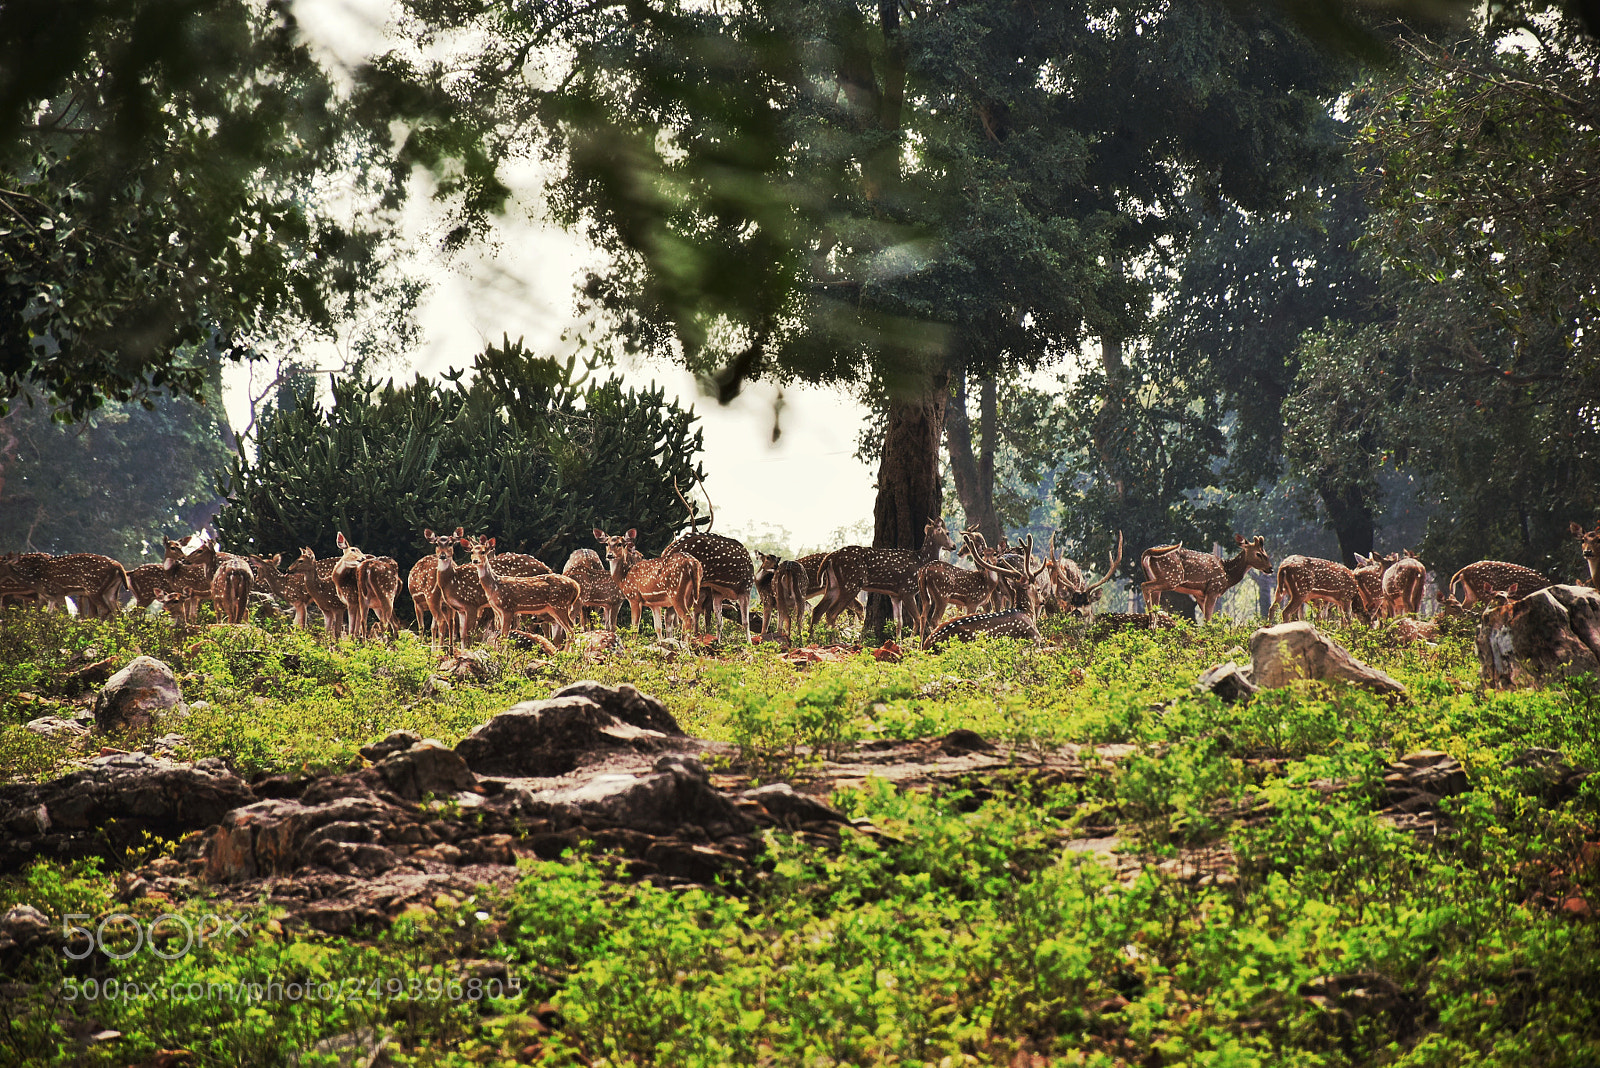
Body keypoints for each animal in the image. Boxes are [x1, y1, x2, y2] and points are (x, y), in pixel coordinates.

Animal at [0, 550, 129, 619]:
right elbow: (45, 615)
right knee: (118, 611)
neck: (37, 579)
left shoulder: (58, 592)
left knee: (105, 609)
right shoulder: (49, 597)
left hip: (93, 589)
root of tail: (118, 566)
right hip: (110, 591)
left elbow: (65, 614)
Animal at [810, 517, 958, 635]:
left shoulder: (895, 595)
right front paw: (911, 643)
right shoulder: (907, 590)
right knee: (831, 613)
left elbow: (898, 622)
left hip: (833, 585)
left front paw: (898, 642)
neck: (921, 561)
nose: (954, 546)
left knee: (817, 610)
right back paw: (835, 639)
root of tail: (831, 557)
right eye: (947, 532)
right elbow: (917, 619)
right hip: (850, 584)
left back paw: (812, 639)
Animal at [1138, 534, 1271, 622]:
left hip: (1157, 578)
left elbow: (1207, 617)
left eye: (1266, 553)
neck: (1227, 574)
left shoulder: (1200, 595)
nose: (1271, 568)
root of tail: (1147, 552)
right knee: (1144, 586)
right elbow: (1208, 619)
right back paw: (1151, 622)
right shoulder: (1213, 589)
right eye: (1258, 554)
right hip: (1172, 577)